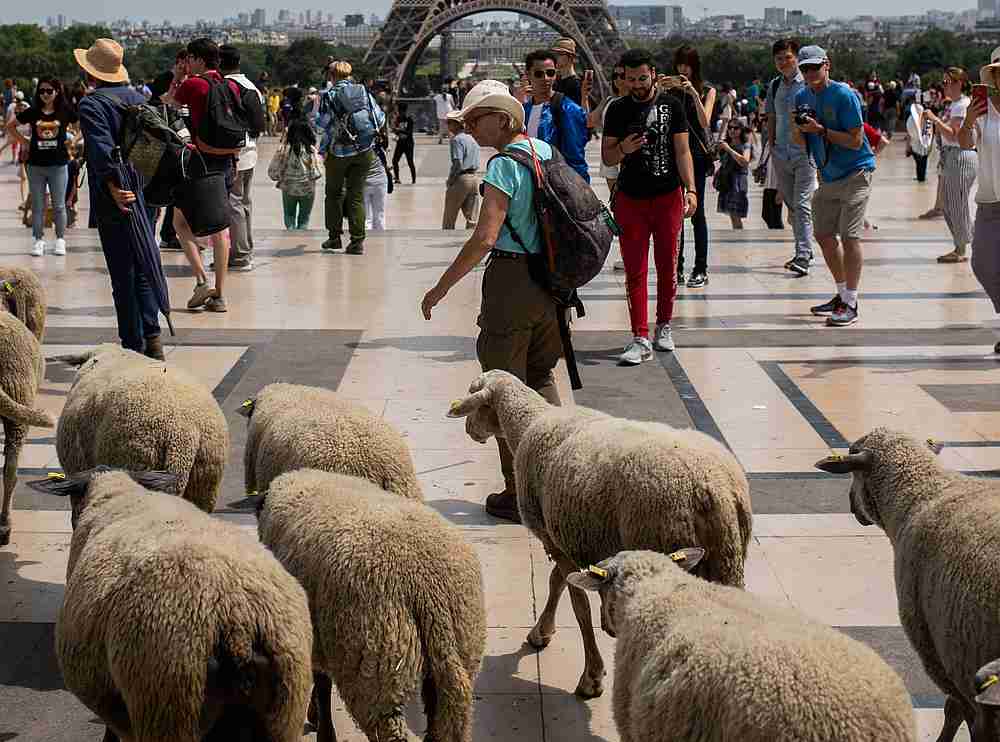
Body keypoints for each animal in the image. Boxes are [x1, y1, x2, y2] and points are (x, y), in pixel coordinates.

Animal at [255, 468, 486, 742]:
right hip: (459, 651)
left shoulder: (320, 640)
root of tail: (429, 591)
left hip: (376, 668)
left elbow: (322, 685)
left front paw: (323, 728)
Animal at [448, 369, 752, 698]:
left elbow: (577, 603)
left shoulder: (553, 538)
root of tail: (714, 489)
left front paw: (591, 676)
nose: (468, 430)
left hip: (661, 537)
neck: (530, 422)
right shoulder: (563, 534)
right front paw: (544, 631)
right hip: (728, 558)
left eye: (474, 398)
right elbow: (558, 582)